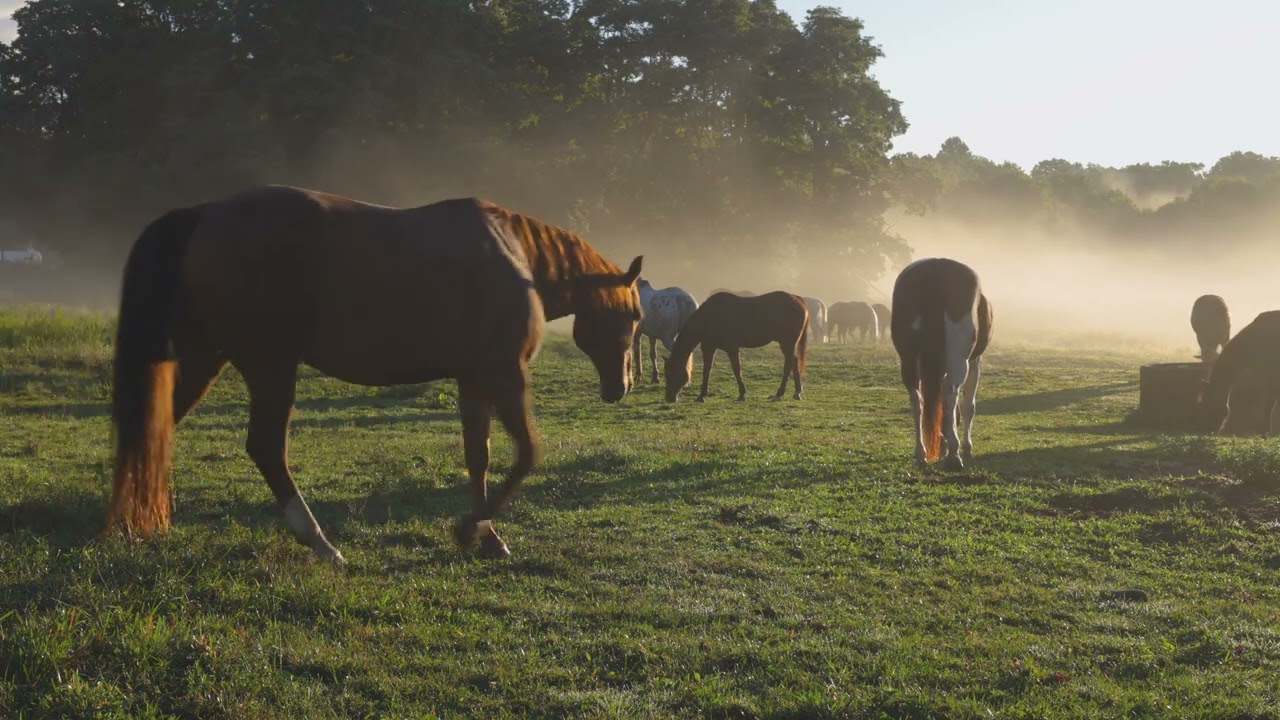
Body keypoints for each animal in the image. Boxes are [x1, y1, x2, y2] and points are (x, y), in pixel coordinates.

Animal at [105, 185, 643, 566]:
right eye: (636, 316)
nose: (621, 387)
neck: (517, 258)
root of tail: (205, 215)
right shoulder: (505, 374)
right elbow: (527, 453)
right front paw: (469, 529)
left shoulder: (474, 379)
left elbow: (480, 457)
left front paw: (486, 535)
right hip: (269, 366)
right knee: (265, 447)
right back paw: (320, 543)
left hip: (206, 359)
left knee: (153, 431)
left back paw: (132, 522)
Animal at [663, 291, 808, 402]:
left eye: (671, 374)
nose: (669, 398)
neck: (710, 317)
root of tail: (798, 299)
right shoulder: (708, 347)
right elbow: (707, 370)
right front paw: (702, 395)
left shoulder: (732, 348)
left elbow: (736, 369)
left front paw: (742, 394)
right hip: (787, 344)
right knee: (794, 361)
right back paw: (797, 392)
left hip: (787, 342)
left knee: (788, 365)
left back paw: (779, 394)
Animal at [891, 258, 993, 470]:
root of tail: (934, 270)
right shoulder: (974, 362)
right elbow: (968, 406)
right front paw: (965, 447)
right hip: (959, 360)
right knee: (950, 392)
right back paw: (954, 454)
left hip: (908, 358)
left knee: (917, 400)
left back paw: (921, 454)